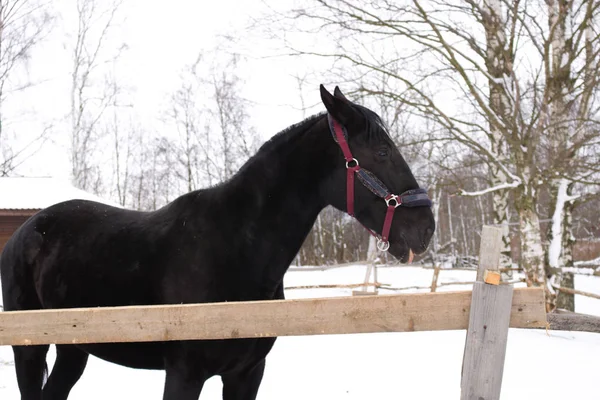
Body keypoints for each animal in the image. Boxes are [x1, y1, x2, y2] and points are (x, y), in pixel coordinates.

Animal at [0, 86, 432, 398]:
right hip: (29, 349)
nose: (425, 228)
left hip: (73, 349)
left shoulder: (245, 374)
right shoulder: (184, 374)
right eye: (381, 151)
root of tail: (26, 230)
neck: (234, 246)